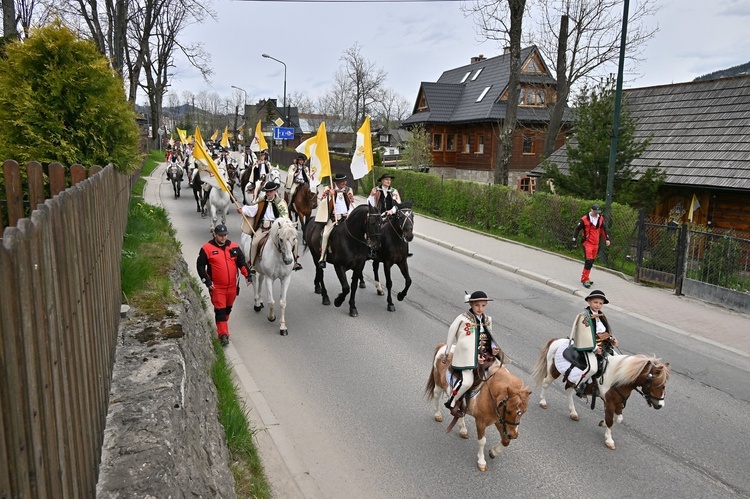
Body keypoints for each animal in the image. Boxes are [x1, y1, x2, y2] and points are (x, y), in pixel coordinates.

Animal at [428, 344, 536, 472]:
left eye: (523, 412)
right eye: (509, 410)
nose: (513, 435)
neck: (489, 392)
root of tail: (444, 346)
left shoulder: (500, 421)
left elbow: (505, 441)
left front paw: (494, 452)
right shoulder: (481, 422)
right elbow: (482, 441)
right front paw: (481, 461)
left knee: (459, 411)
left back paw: (463, 430)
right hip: (438, 384)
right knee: (436, 395)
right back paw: (438, 415)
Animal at [532, 338, 672, 452]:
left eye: (664, 385)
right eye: (658, 384)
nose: (660, 405)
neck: (619, 378)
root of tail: (557, 340)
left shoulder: (619, 403)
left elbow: (618, 419)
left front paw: (602, 423)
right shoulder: (609, 402)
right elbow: (610, 419)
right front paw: (609, 440)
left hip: (571, 380)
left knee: (568, 391)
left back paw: (573, 413)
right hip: (553, 371)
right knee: (546, 384)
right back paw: (543, 402)